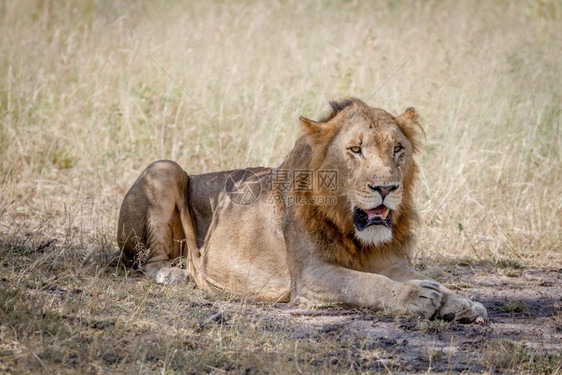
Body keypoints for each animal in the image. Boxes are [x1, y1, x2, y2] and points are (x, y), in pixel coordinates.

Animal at [117, 99, 486, 324]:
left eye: (397, 149)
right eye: (356, 150)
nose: (387, 188)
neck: (353, 230)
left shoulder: (391, 262)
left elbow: (428, 280)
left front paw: (462, 303)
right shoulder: (310, 276)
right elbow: (365, 283)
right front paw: (417, 296)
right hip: (165, 168)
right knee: (145, 261)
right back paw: (175, 273)